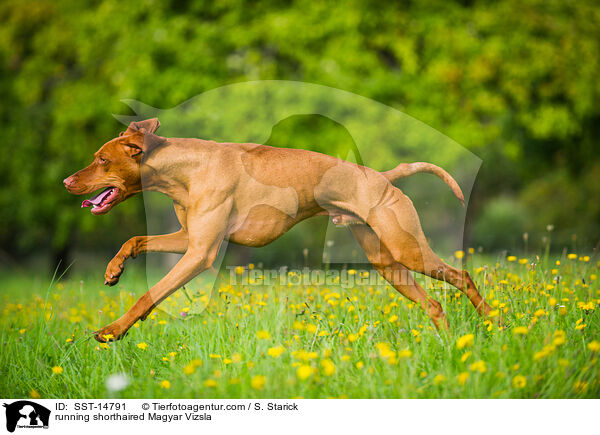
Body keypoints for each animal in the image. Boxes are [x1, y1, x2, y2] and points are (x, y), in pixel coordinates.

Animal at [63, 118, 492, 340]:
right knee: (435, 303)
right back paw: (453, 341)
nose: (66, 181)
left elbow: (149, 295)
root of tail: (383, 177)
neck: (185, 170)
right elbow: (134, 239)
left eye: (101, 160)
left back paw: (495, 321)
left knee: (463, 275)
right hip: (388, 264)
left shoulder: (200, 254)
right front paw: (114, 270)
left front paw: (113, 330)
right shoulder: (189, 239)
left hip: (407, 249)